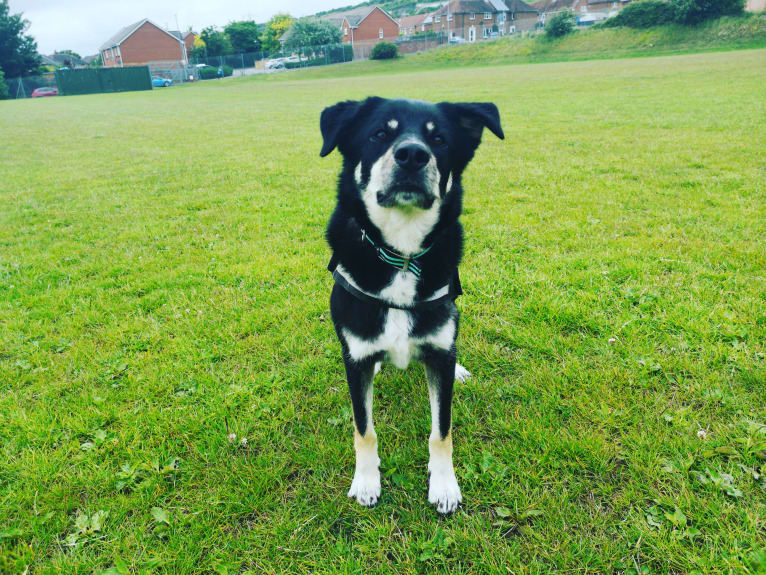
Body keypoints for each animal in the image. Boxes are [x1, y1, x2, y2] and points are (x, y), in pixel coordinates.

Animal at [320, 97, 508, 516]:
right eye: (379, 133)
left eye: (438, 139)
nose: (412, 155)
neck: (402, 254)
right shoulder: (356, 359)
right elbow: (364, 429)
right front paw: (366, 481)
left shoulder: (438, 351)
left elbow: (441, 431)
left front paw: (444, 485)